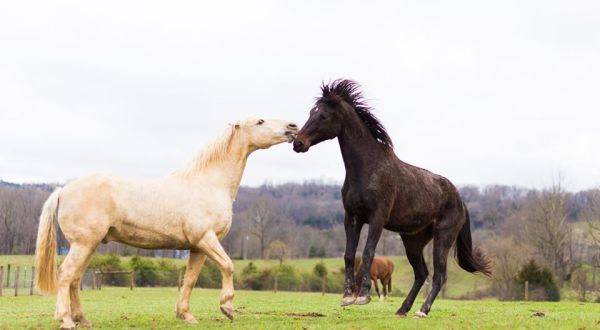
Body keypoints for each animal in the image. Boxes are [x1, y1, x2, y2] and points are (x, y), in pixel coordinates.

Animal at [35, 117, 298, 328]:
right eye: (260, 121)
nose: (293, 127)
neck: (208, 183)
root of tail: (63, 190)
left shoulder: (197, 248)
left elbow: (190, 280)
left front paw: (186, 316)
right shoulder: (206, 239)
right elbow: (228, 266)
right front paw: (227, 308)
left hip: (89, 246)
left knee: (75, 279)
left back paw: (83, 319)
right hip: (83, 244)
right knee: (66, 275)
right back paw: (66, 320)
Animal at [292, 80, 492, 318]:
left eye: (323, 116)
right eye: (311, 112)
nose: (297, 143)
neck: (368, 168)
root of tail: (460, 200)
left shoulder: (377, 218)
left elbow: (368, 252)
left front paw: (363, 296)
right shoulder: (352, 217)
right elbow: (349, 254)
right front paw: (347, 296)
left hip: (442, 238)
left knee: (439, 275)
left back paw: (422, 311)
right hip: (413, 242)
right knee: (421, 274)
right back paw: (402, 310)